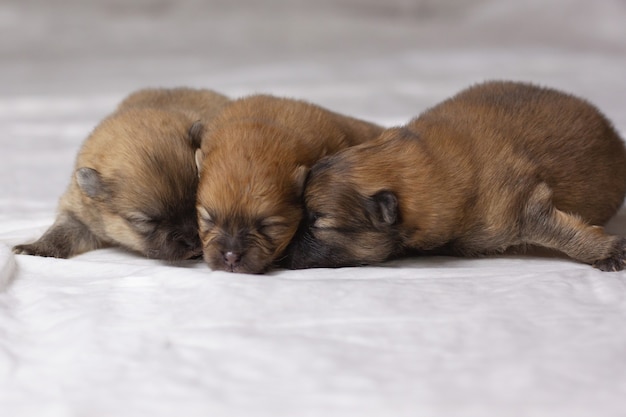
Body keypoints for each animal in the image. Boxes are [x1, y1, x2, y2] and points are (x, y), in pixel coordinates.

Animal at [13, 87, 229, 260]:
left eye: (195, 207)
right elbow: (62, 231)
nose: (193, 241)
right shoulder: (79, 213)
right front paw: (36, 248)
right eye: (146, 221)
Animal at [286, 80, 624, 270]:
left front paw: (607, 252)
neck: (431, 163)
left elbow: (565, 232)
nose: (283, 252)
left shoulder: (522, 206)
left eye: (318, 223)